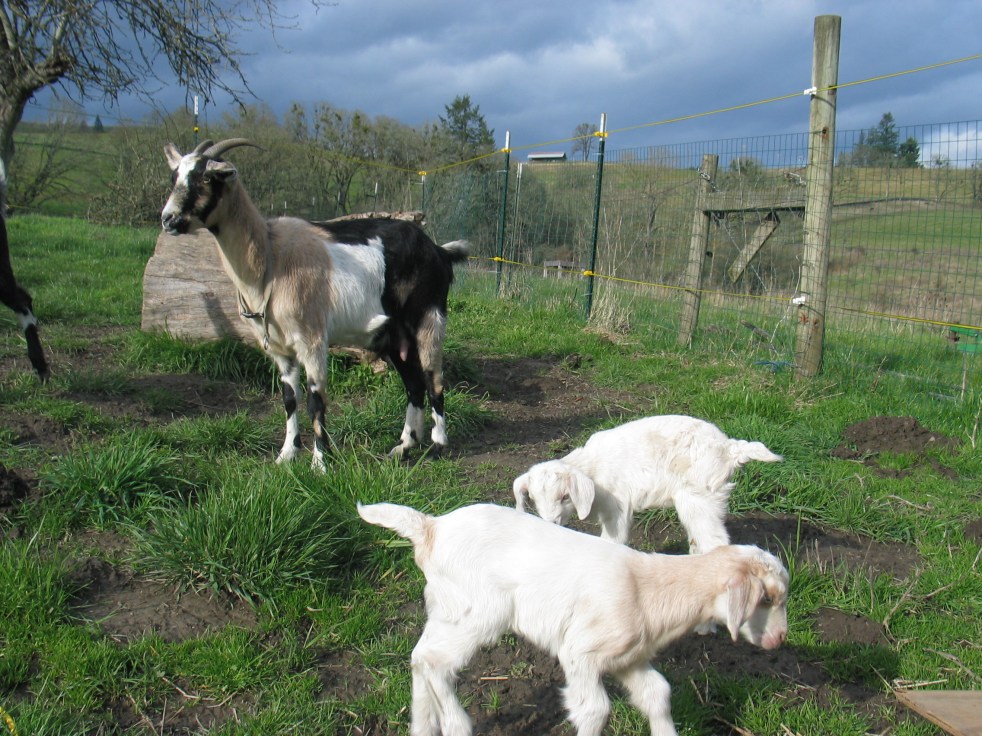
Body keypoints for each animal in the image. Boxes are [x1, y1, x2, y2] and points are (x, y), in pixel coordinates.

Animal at [161, 139, 469, 470]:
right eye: (174, 177)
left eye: (207, 177)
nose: (168, 219)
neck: (270, 259)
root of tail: (438, 251)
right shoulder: (278, 348)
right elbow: (288, 399)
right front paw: (287, 454)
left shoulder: (312, 339)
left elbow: (315, 400)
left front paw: (320, 462)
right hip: (393, 334)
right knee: (414, 384)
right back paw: (403, 446)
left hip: (429, 317)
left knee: (433, 379)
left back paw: (437, 446)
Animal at [358, 501, 789, 736]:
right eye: (766, 598)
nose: (780, 640)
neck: (648, 587)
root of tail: (431, 528)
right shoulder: (581, 652)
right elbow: (594, 709)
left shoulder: (628, 658)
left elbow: (656, 693)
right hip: (478, 613)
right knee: (435, 663)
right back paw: (456, 725)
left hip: (448, 608)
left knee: (419, 658)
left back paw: (423, 726)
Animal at [514, 415, 782, 553]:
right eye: (534, 499)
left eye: (565, 496)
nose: (550, 523)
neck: (594, 468)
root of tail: (729, 448)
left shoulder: (617, 506)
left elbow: (613, 540)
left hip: (699, 495)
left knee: (714, 541)